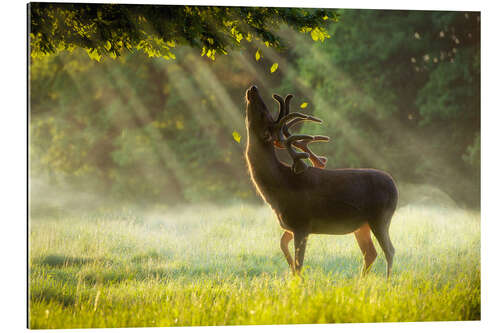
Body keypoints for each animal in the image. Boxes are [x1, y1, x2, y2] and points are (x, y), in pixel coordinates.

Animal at [245, 84, 398, 276]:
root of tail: (395, 187)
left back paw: (387, 280)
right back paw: (360, 280)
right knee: (370, 253)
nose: (253, 88)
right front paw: (291, 272)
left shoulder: (302, 223)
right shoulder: (291, 225)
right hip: (362, 225)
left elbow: (299, 264)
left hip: (381, 217)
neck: (279, 186)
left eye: (263, 113)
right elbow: (283, 247)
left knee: (389, 250)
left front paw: (297, 279)